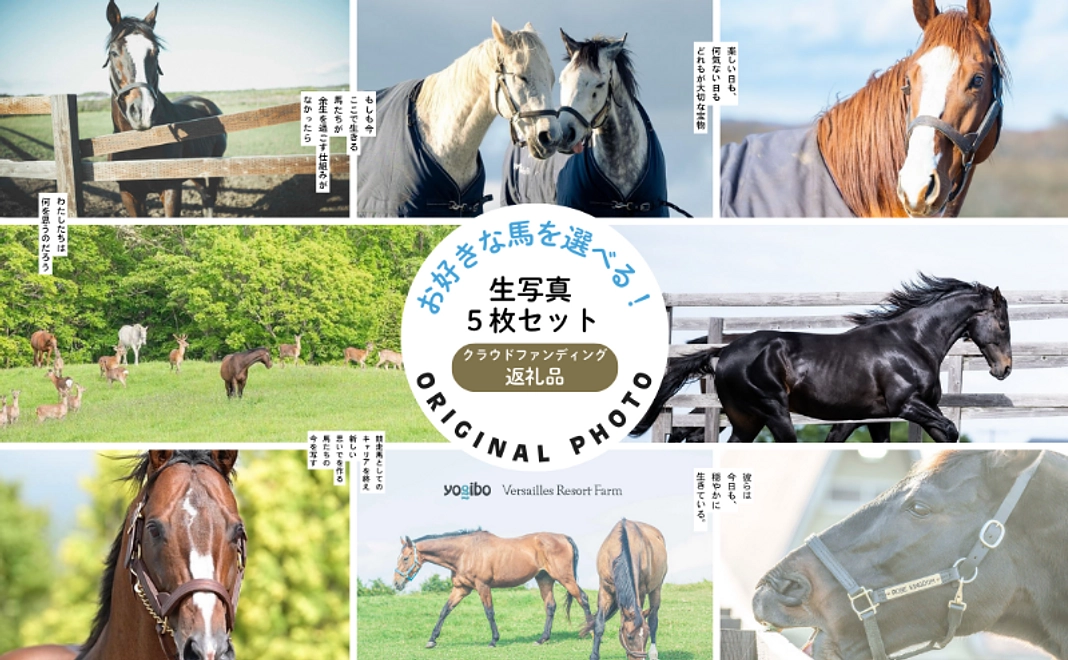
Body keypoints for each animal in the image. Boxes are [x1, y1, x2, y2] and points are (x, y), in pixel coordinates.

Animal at [105, 0, 227, 217]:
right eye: (113, 52)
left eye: (156, 52)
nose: (143, 111)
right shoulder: (130, 195)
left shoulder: (172, 190)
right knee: (204, 195)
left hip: (213, 164)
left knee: (209, 197)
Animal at [393, 529, 594, 649]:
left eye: (405, 558)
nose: (396, 584)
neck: (464, 553)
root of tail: (564, 537)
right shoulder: (461, 589)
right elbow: (445, 611)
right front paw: (432, 640)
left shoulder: (483, 586)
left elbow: (489, 612)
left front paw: (493, 640)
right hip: (544, 579)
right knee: (550, 606)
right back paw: (542, 639)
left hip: (565, 578)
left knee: (582, 598)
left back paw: (590, 631)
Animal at [581, 519, 668, 660]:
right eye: (629, 636)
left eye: (646, 636)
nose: (640, 658)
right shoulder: (604, 589)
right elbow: (599, 624)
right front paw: (594, 655)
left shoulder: (640, 591)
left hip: (656, 588)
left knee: (653, 619)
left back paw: (653, 654)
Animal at [632, 275, 1012, 443]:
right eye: (1003, 324)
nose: (1004, 369)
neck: (910, 343)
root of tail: (722, 353)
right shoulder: (906, 405)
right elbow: (948, 430)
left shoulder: (870, 418)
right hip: (773, 411)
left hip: (745, 420)